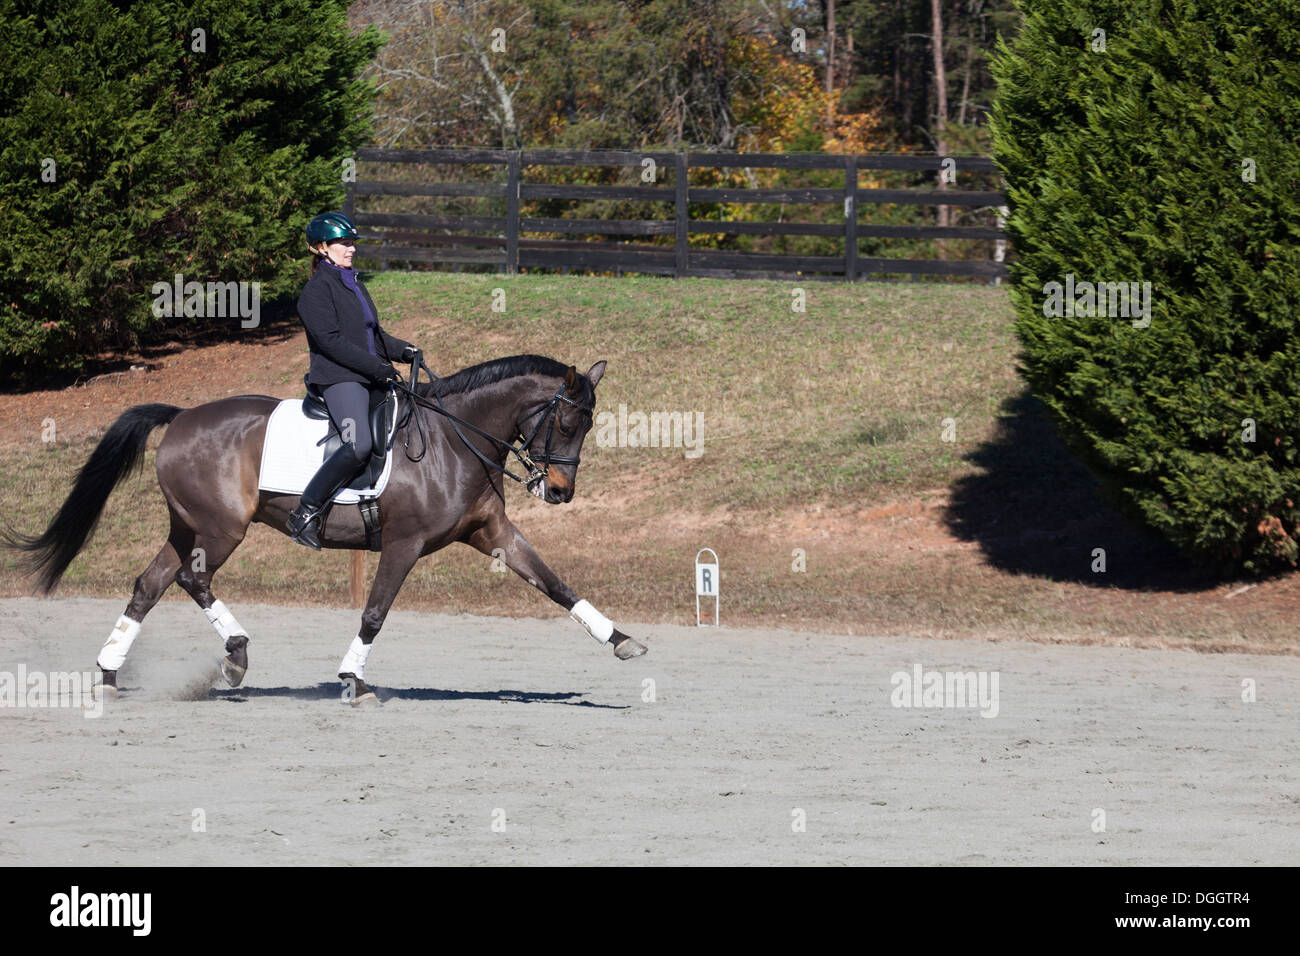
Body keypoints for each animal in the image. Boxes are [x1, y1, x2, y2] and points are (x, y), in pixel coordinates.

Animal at [2, 353, 647, 704]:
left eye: (588, 425)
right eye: (567, 422)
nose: (560, 491)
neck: (455, 437)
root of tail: (182, 416)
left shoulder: (492, 534)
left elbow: (557, 585)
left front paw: (621, 641)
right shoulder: (404, 544)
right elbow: (375, 612)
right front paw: (352, 680)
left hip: (189, 527)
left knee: (150, 584)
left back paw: (111, 672)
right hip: (222, 531)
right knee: (189, 580)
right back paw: (235, 656)